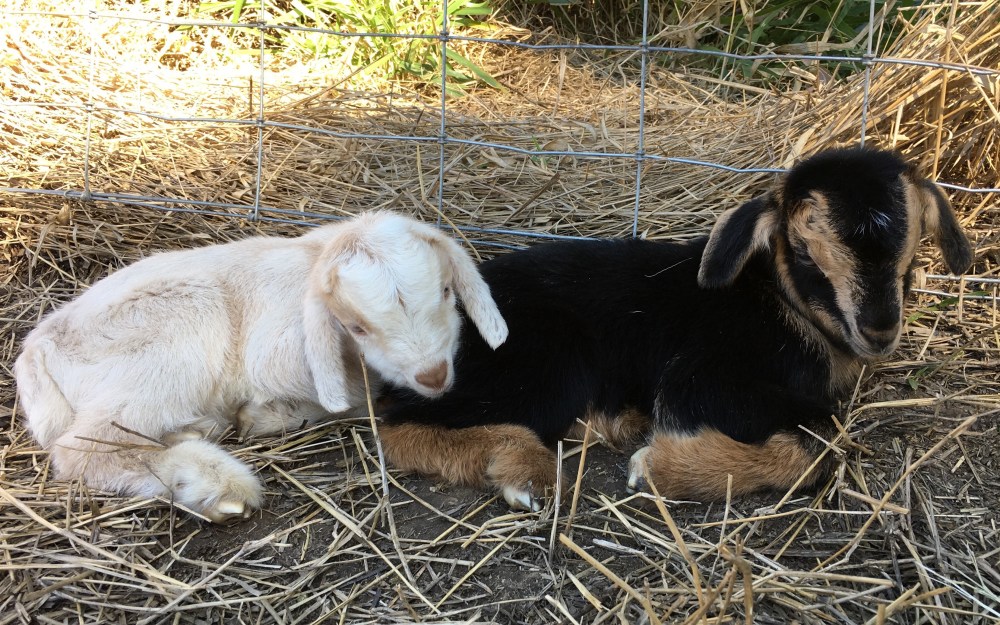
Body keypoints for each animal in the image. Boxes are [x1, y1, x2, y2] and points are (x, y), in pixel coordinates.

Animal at [15, 211, 508, 522]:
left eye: (446, 291)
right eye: (357, 327)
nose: (433, 376)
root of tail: (36, 350)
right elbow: (349, 401)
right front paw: (262, 416)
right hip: (168, 350)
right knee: (84, 449)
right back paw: (217, 486)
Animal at [378, 147, 973, 511]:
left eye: (910, 254)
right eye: (806, 253)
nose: (879, 329)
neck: (776, 301)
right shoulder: (701, 377)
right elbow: (822, 440)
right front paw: (655, 468)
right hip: (549, 361)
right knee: (398, 427)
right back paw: (525, 471)